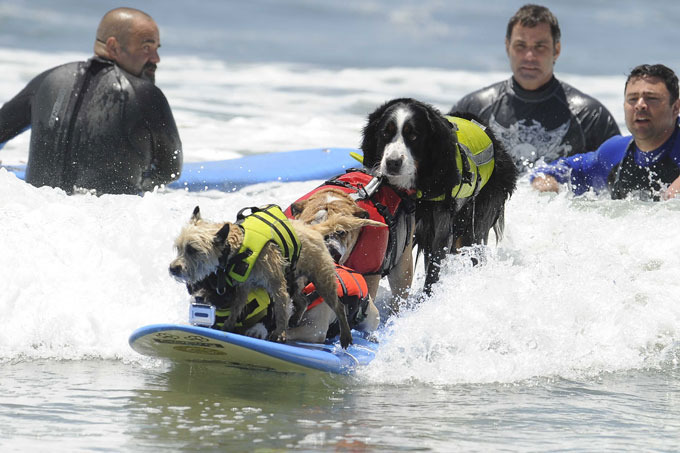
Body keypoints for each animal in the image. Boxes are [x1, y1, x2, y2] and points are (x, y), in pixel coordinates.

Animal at [169, 206, 382, 350]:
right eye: (178, 247)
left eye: (192, 249)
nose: (172, 268)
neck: (240, 246)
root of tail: (313, 229)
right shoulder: (243, 287)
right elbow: (237, 306)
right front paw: (229, 325)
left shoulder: (276, 284)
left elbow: (279, 308)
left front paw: (279, 333)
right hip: (295, 279)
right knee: (302, 300)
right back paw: (296, 317)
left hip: (322, 278)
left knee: (337, 306)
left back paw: (345, 334)